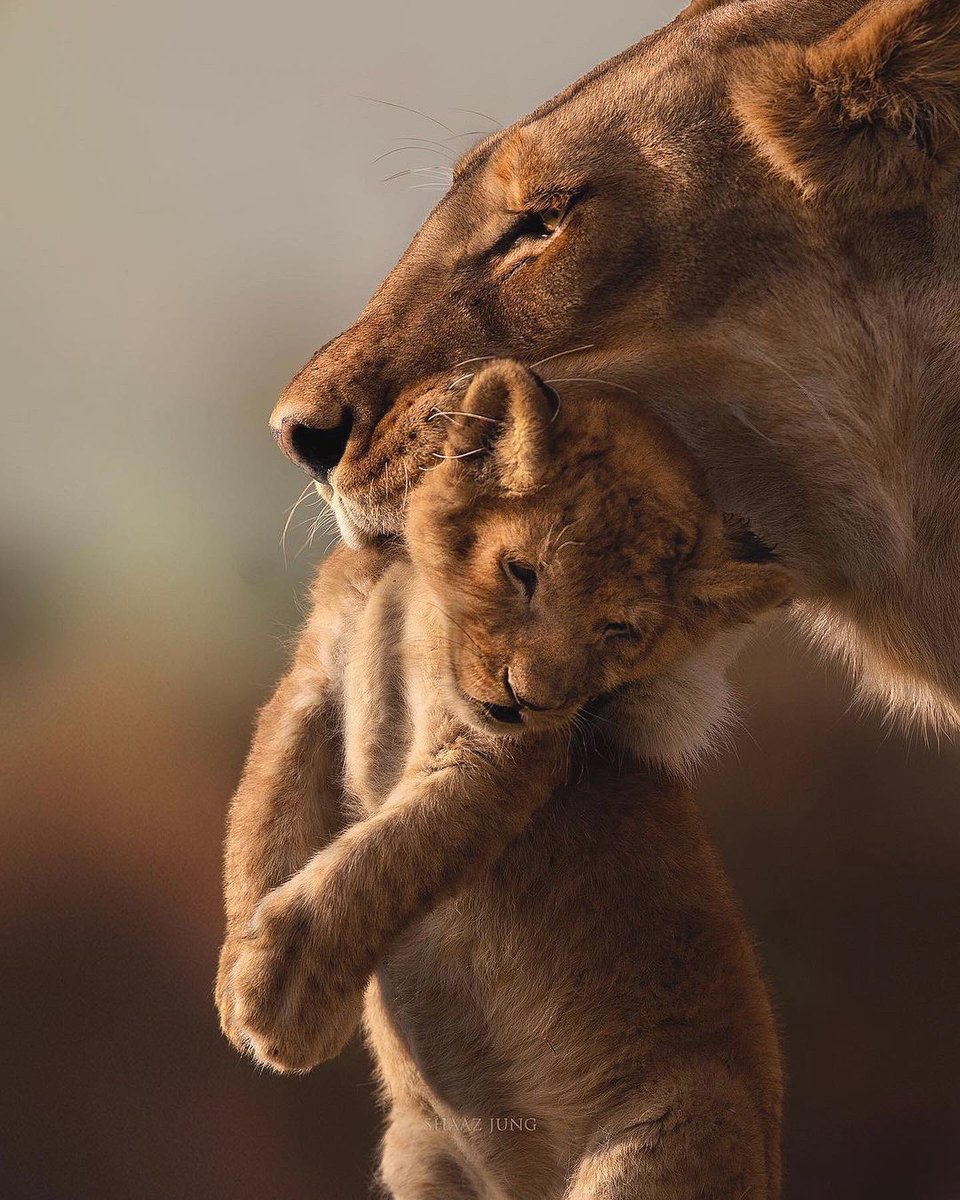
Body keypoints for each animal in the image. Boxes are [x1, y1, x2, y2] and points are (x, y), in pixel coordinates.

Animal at [217, 363, 790, 1197]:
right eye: (523, 573)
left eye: (621, 630)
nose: (532, 699)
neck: (418, 596)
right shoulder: (311, 681)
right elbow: (265, 819)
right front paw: (240, 971)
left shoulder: (496, 757)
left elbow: (386, 855)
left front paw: (281, 996)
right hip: (421, 1157)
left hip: (676, 1135)